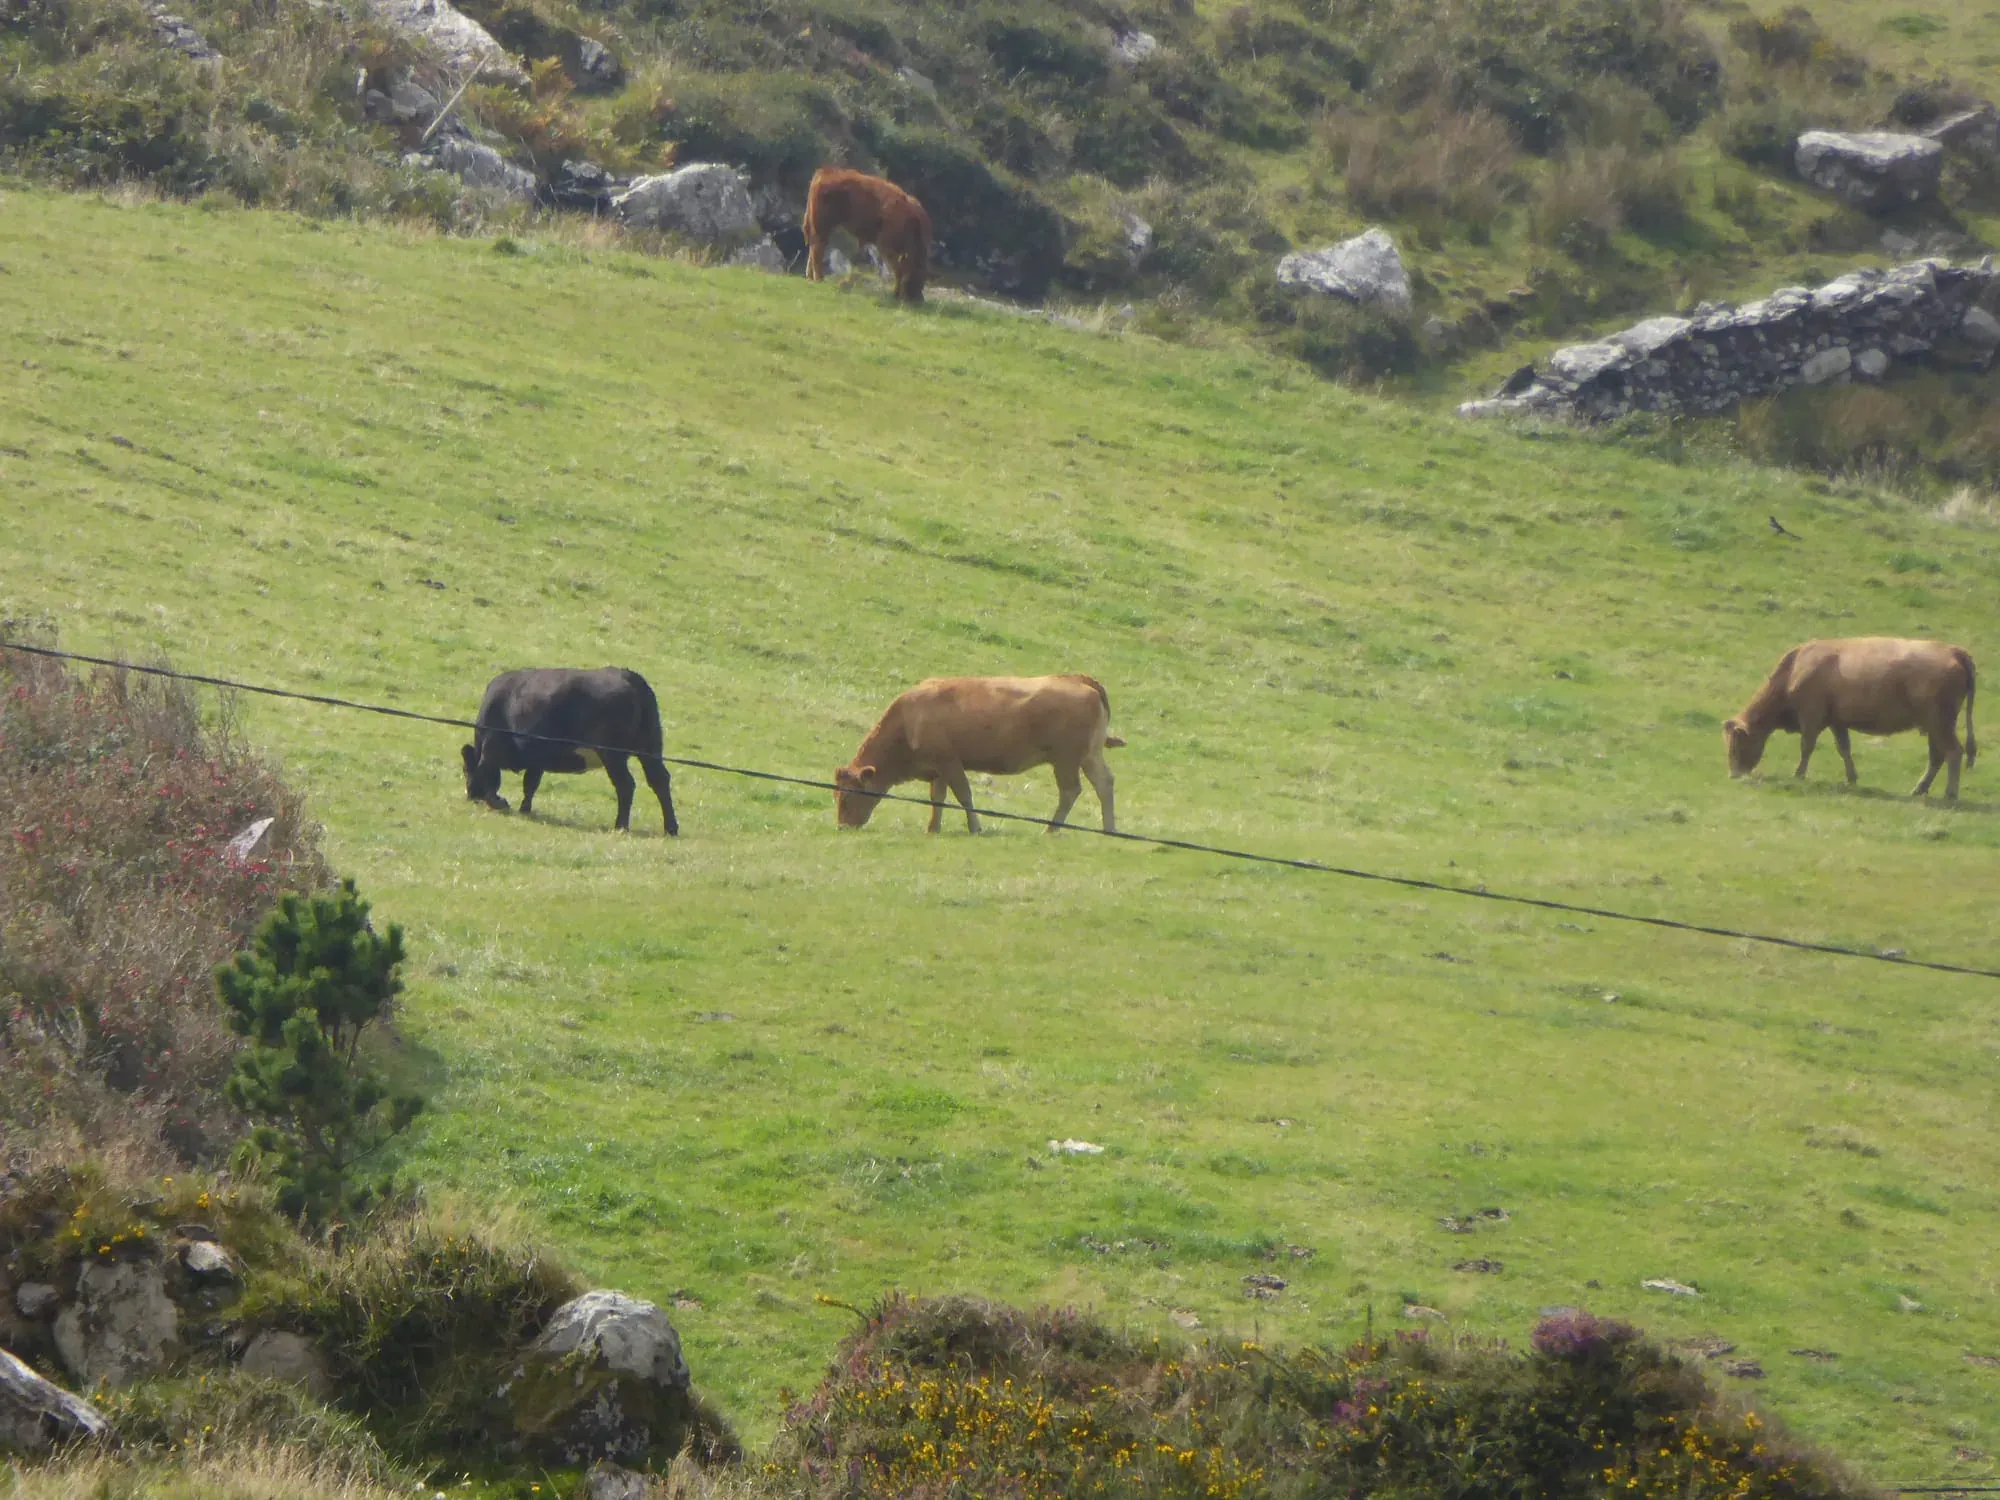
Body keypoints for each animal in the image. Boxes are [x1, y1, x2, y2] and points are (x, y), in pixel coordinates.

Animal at [461, 667, 679, 834]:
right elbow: (530, 784)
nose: (471, 796)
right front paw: (525, 809)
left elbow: (486, 773)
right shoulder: (537, 759)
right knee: (659, 780)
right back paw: (671, 828)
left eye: (465, 769)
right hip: (650, 746)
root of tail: (628, 676)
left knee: (626, 785)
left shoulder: (491, 747)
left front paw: (500, 802)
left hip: (612, 754)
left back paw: (621, 826)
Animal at [802, 166, 933, 305]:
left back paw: (810, 277)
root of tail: (825, 171)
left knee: (813, 248)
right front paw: (897, 295)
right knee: (817, 249)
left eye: (923, 279)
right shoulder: (888, 246)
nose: (919, 300)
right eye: (917, 277)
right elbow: (899, 270)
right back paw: (818, 279)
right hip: (822, 226)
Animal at [834, 675, 1124, 833]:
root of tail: (1076, 679)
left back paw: (1051, 829)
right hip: (1089, 756)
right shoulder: (938, 770)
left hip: (1066, 760)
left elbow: (963, 795)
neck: (910, 718)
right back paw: (1108, 829)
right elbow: (937, 799)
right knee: (1104, 783)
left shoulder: (950, 762)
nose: (843, 827)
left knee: (1070, 790)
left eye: (848, 797)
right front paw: (933, 828)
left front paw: (975, 827)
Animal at [1723, 637, 1976, 799]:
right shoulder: (1837, 722)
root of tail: (1954, 650)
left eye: (1735, 745)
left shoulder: (1811, 717)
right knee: (1937, 756)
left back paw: (1950, 793)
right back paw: (1919, 789)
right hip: (1934, 726)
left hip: (1940, 722)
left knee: (1953, 752)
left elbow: (1807, 747)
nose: (1734, 775)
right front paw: (1852, 778)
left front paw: (1799, 775)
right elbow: (1844, 748)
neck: (1795, 669)